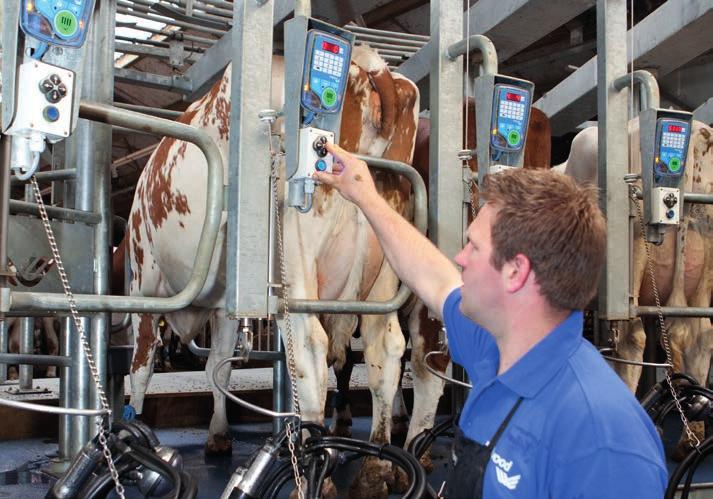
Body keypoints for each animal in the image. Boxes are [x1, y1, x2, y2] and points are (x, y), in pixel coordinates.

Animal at [125, 46, 420, 496]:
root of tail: (368, 68)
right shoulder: (226, 302)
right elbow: (219, 366)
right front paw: (218, 434)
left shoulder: (146, 279)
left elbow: (142, 366)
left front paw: (135, 432)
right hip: (385, 263)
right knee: (384, 349)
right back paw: (376, 469)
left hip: (292, 254)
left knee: (311, 351)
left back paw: (315, 473)